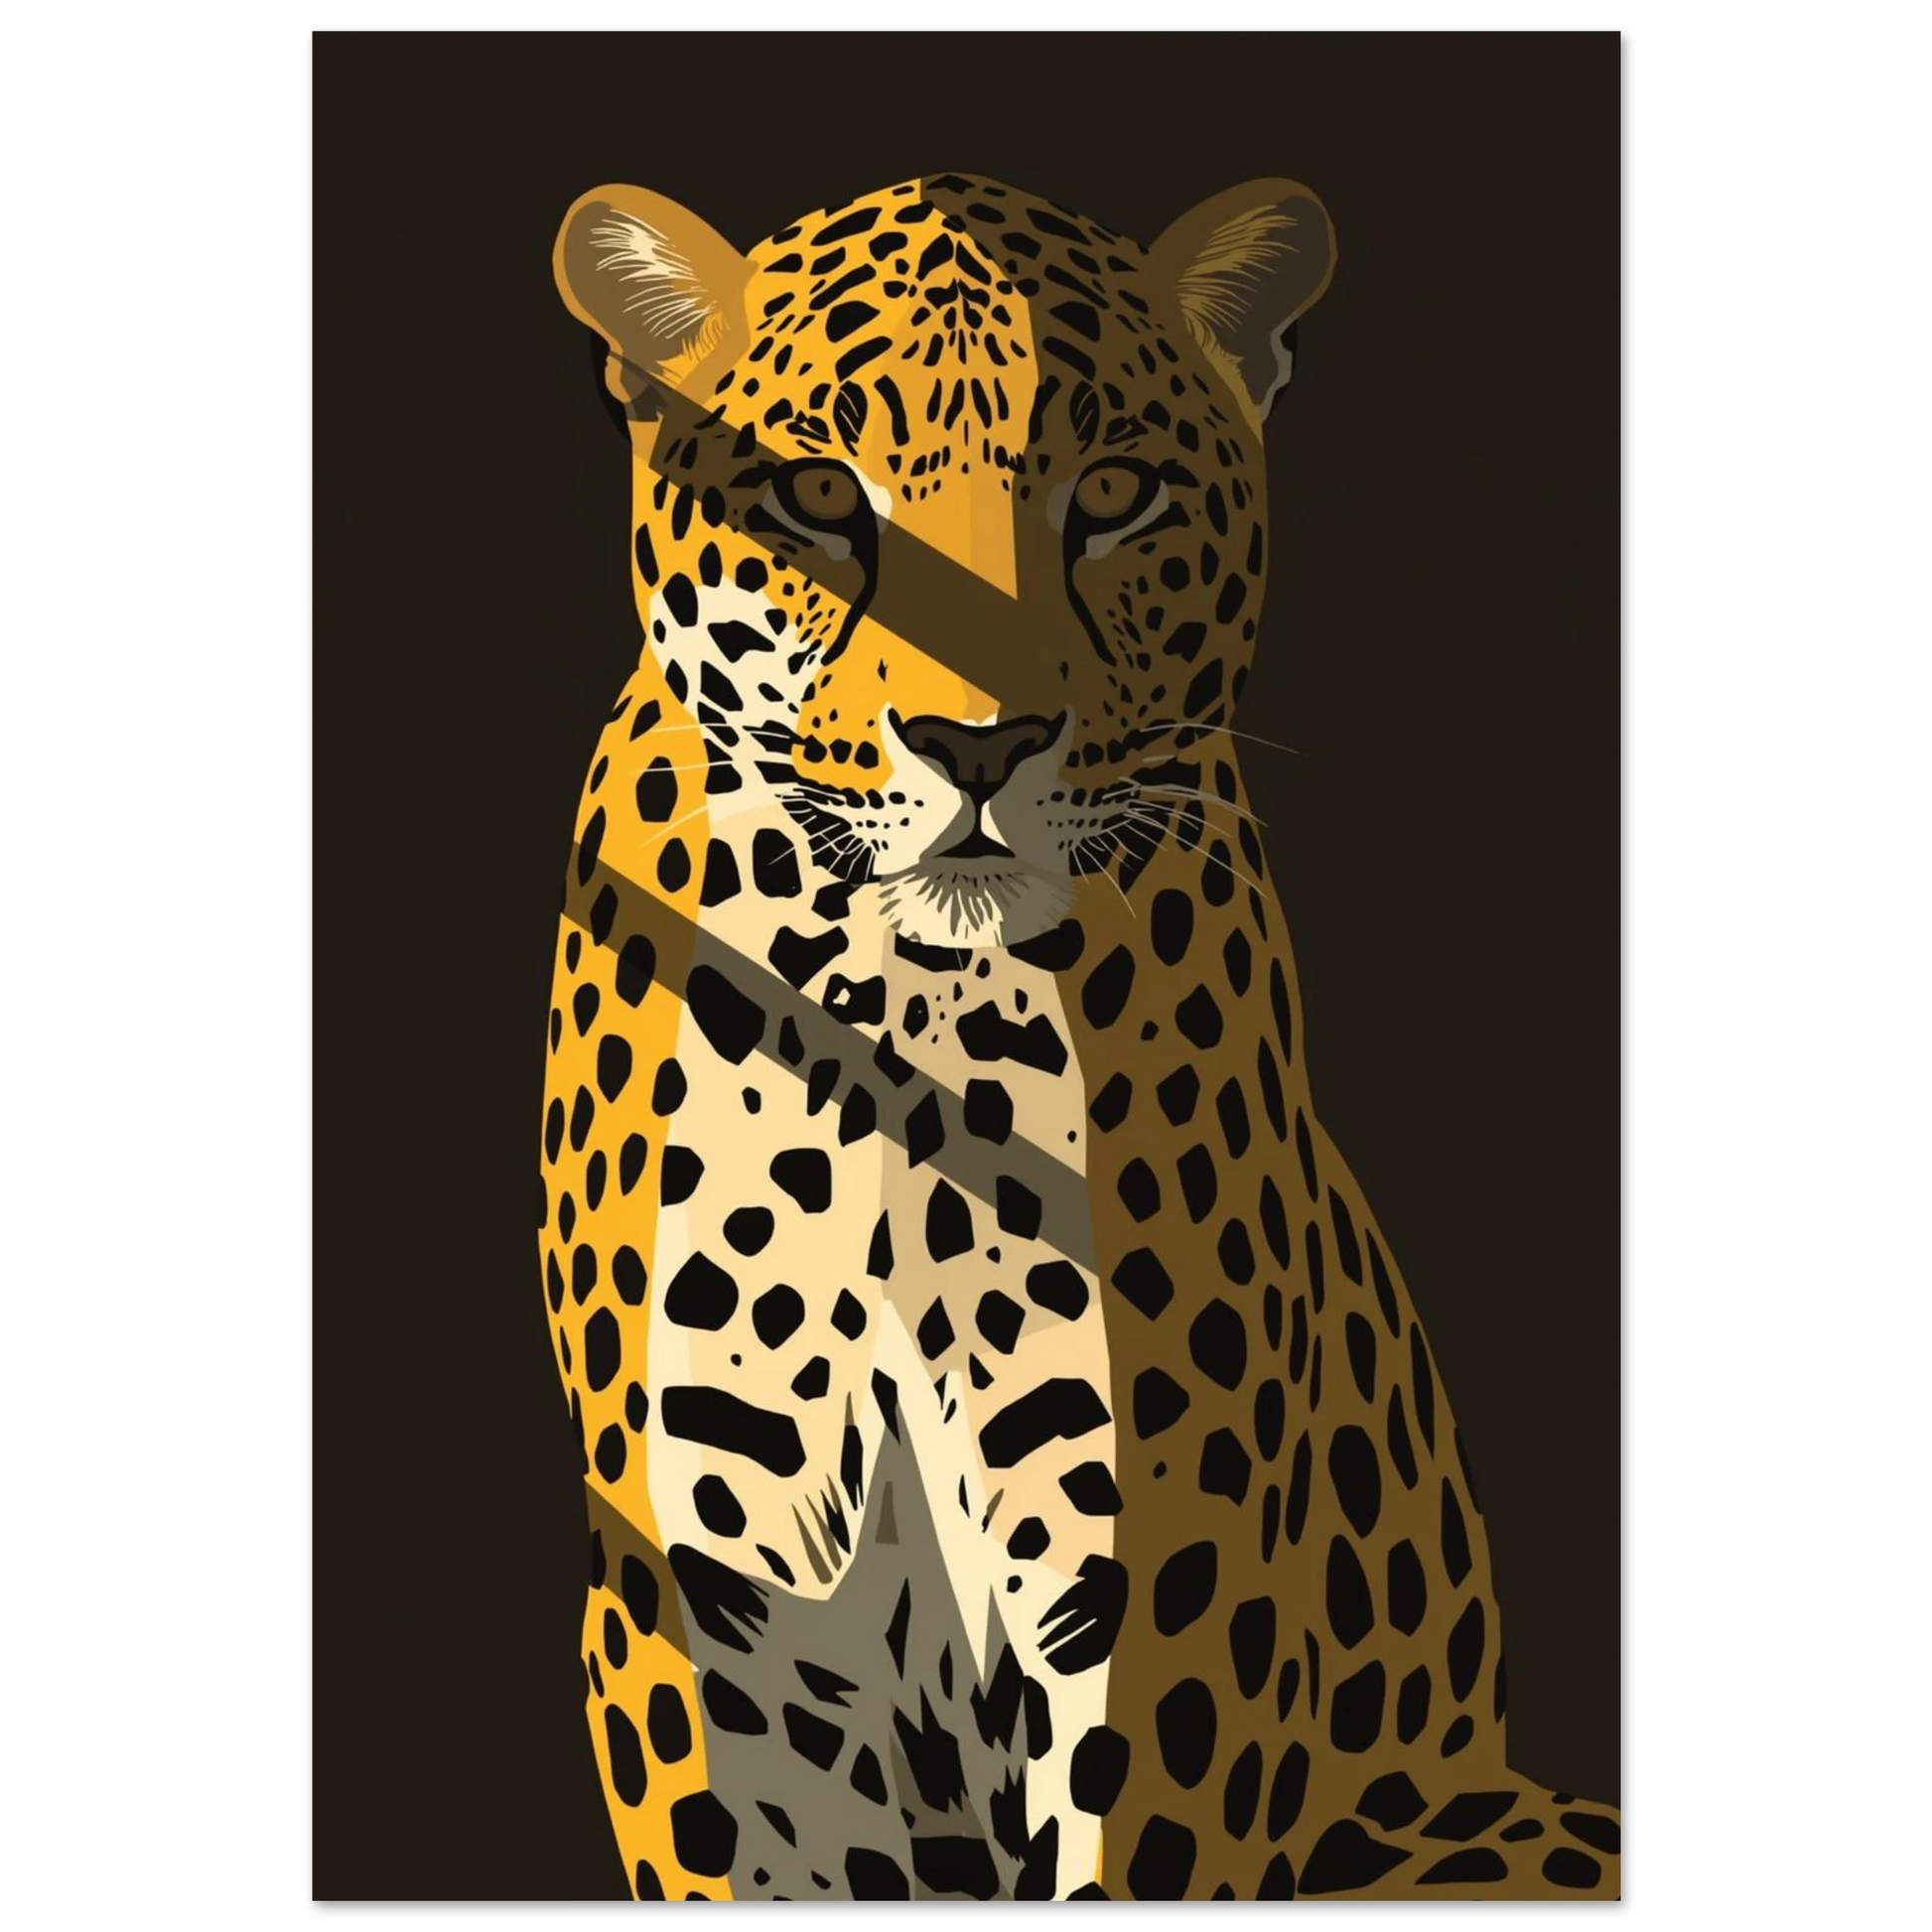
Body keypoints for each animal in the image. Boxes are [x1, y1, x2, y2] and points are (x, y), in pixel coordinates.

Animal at [535, 170, 1622, 1903]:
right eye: (817, 496)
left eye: (1111, 493)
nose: (978, 741)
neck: (903, 1012)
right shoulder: (712, 1596)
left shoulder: (1159, 1580)